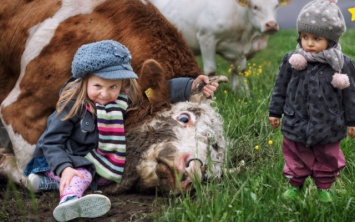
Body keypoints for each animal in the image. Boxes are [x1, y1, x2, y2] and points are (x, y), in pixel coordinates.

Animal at [149, 0, 292, 90]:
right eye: (255, 7)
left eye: (276, 6)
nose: (271, 25)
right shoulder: (207, 37)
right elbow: (211, 70)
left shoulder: (241, 51)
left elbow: (239, 71)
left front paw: (241, 92)